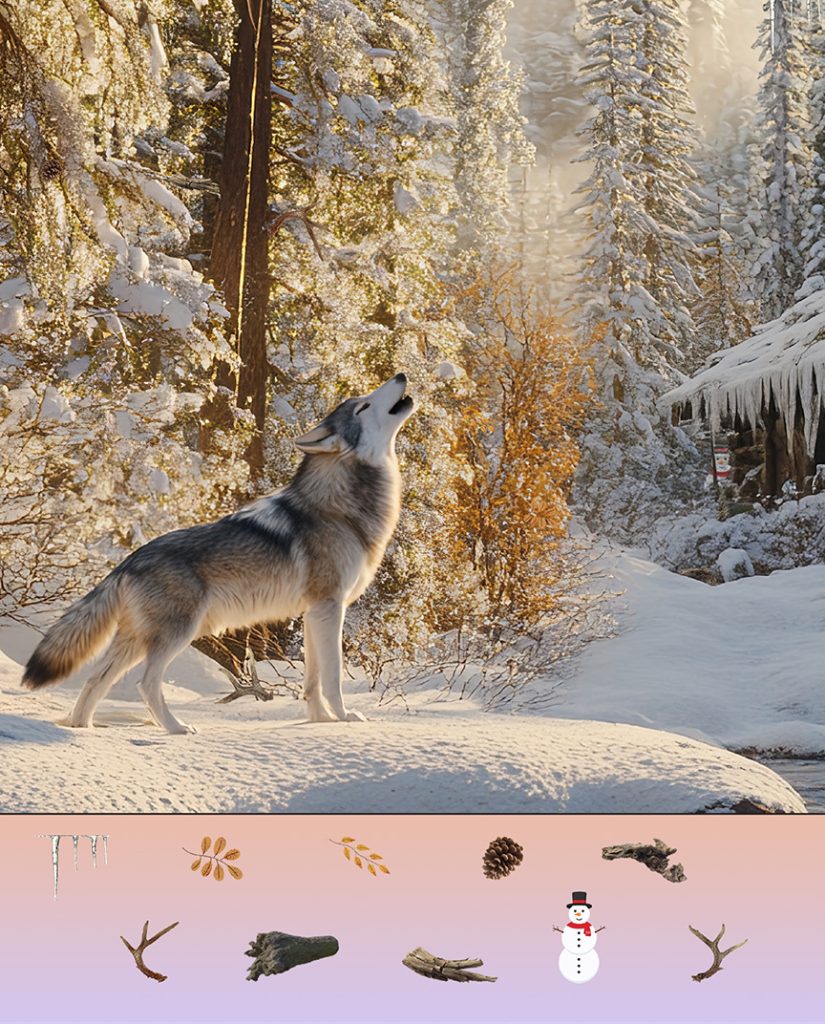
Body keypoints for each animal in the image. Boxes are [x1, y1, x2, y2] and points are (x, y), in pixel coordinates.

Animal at [22, 373, 414, 734]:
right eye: (362, 406)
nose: (400, 375)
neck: (339, 509)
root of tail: (128, 562)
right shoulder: (329, 607)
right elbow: (332, 678)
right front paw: (344, 719)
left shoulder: (313, 613)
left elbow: (312, 681)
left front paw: (320, 721)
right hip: (178, 634)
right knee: (144, 684)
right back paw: (176, 728)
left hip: (135, 642)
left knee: (94, 680)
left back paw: (82, 729)